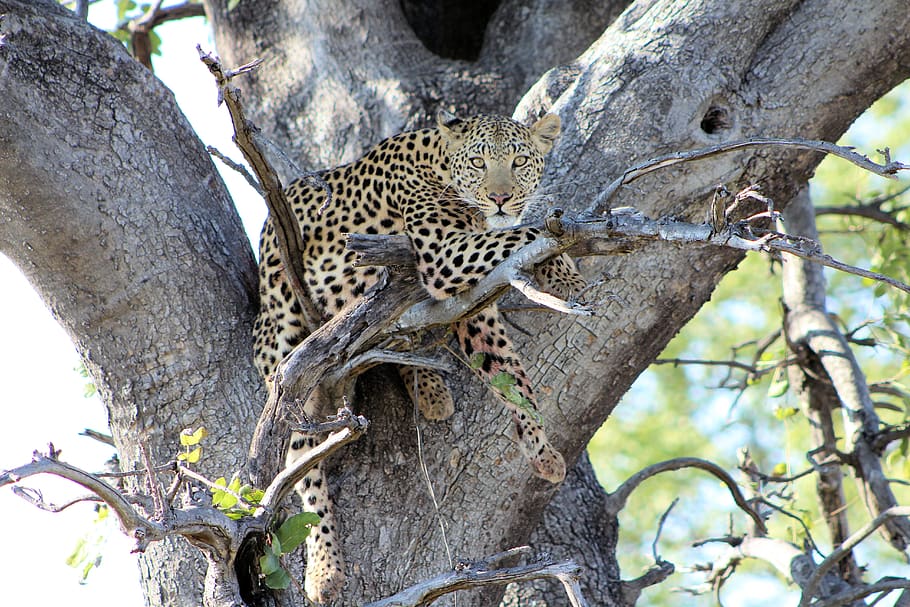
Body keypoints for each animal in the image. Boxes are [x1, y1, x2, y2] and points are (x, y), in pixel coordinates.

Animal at [253, 111, 585, 603]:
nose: (500, 198)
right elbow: (525, 232)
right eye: (480, 162)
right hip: (287, 358)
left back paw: (429, 390)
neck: (442, 165)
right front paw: (565, 270)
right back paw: (324, 570)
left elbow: (509, 370)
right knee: (303, 472)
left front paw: (540, 449)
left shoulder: (475, 300)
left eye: (519, 160)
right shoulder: (445, 252)